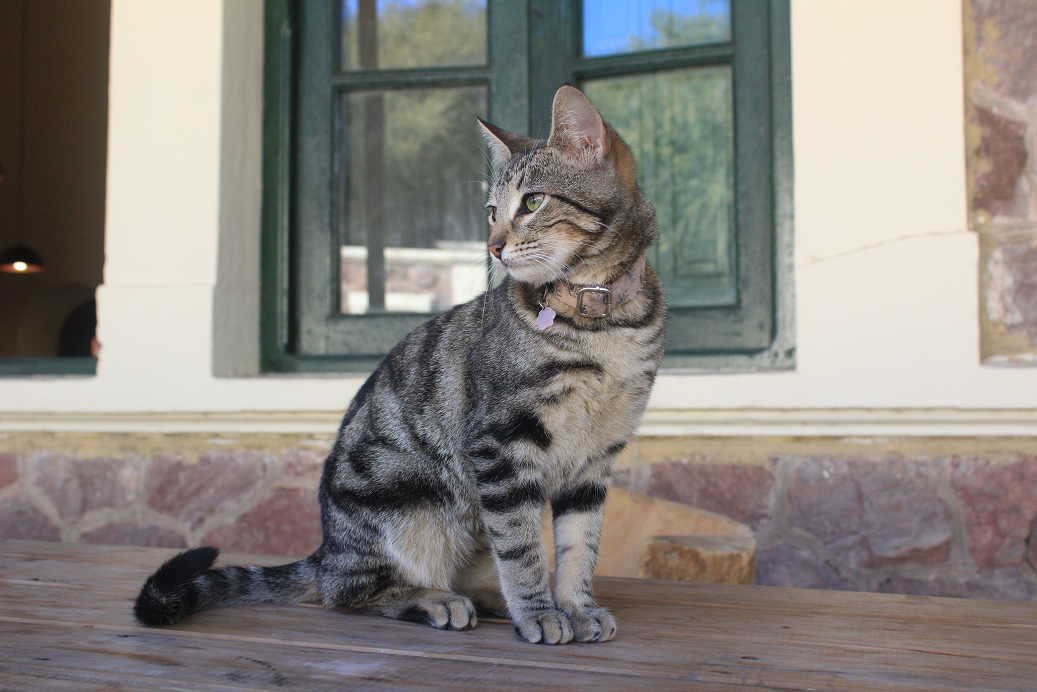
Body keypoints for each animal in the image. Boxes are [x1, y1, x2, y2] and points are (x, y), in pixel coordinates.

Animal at [135, 85, 663, 643]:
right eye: (492, 210)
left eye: (534, 201)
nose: (493, 246)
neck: (601, 320)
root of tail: (326, 549)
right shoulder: (500, 445)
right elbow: (522, 549)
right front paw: (539, 612)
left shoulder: (595, 460)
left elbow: (578, 547)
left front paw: (577, 608)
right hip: (408, 505)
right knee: (348, 590)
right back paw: (434, 600)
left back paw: (486, 598)